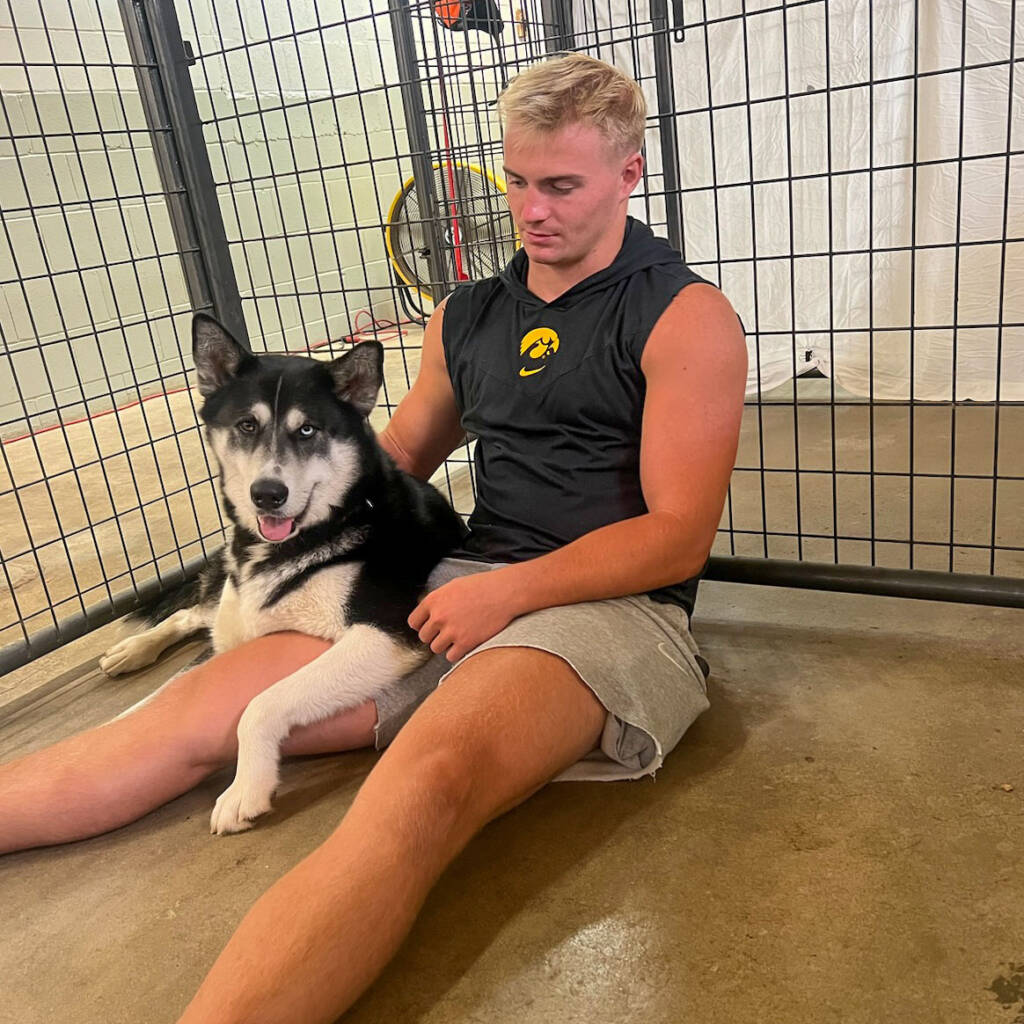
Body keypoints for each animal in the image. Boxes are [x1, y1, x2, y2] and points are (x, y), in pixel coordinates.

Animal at [97, 315, 466, 835]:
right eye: (246, 425)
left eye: (307, 430)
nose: (267, 494)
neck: (314, 533)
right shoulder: (233, 637)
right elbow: (149, 704)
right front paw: (107, 733)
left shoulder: (387, 634)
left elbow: (262, 702)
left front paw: (244, 788)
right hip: (225, 608)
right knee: (194, 613)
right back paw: (132, 650)